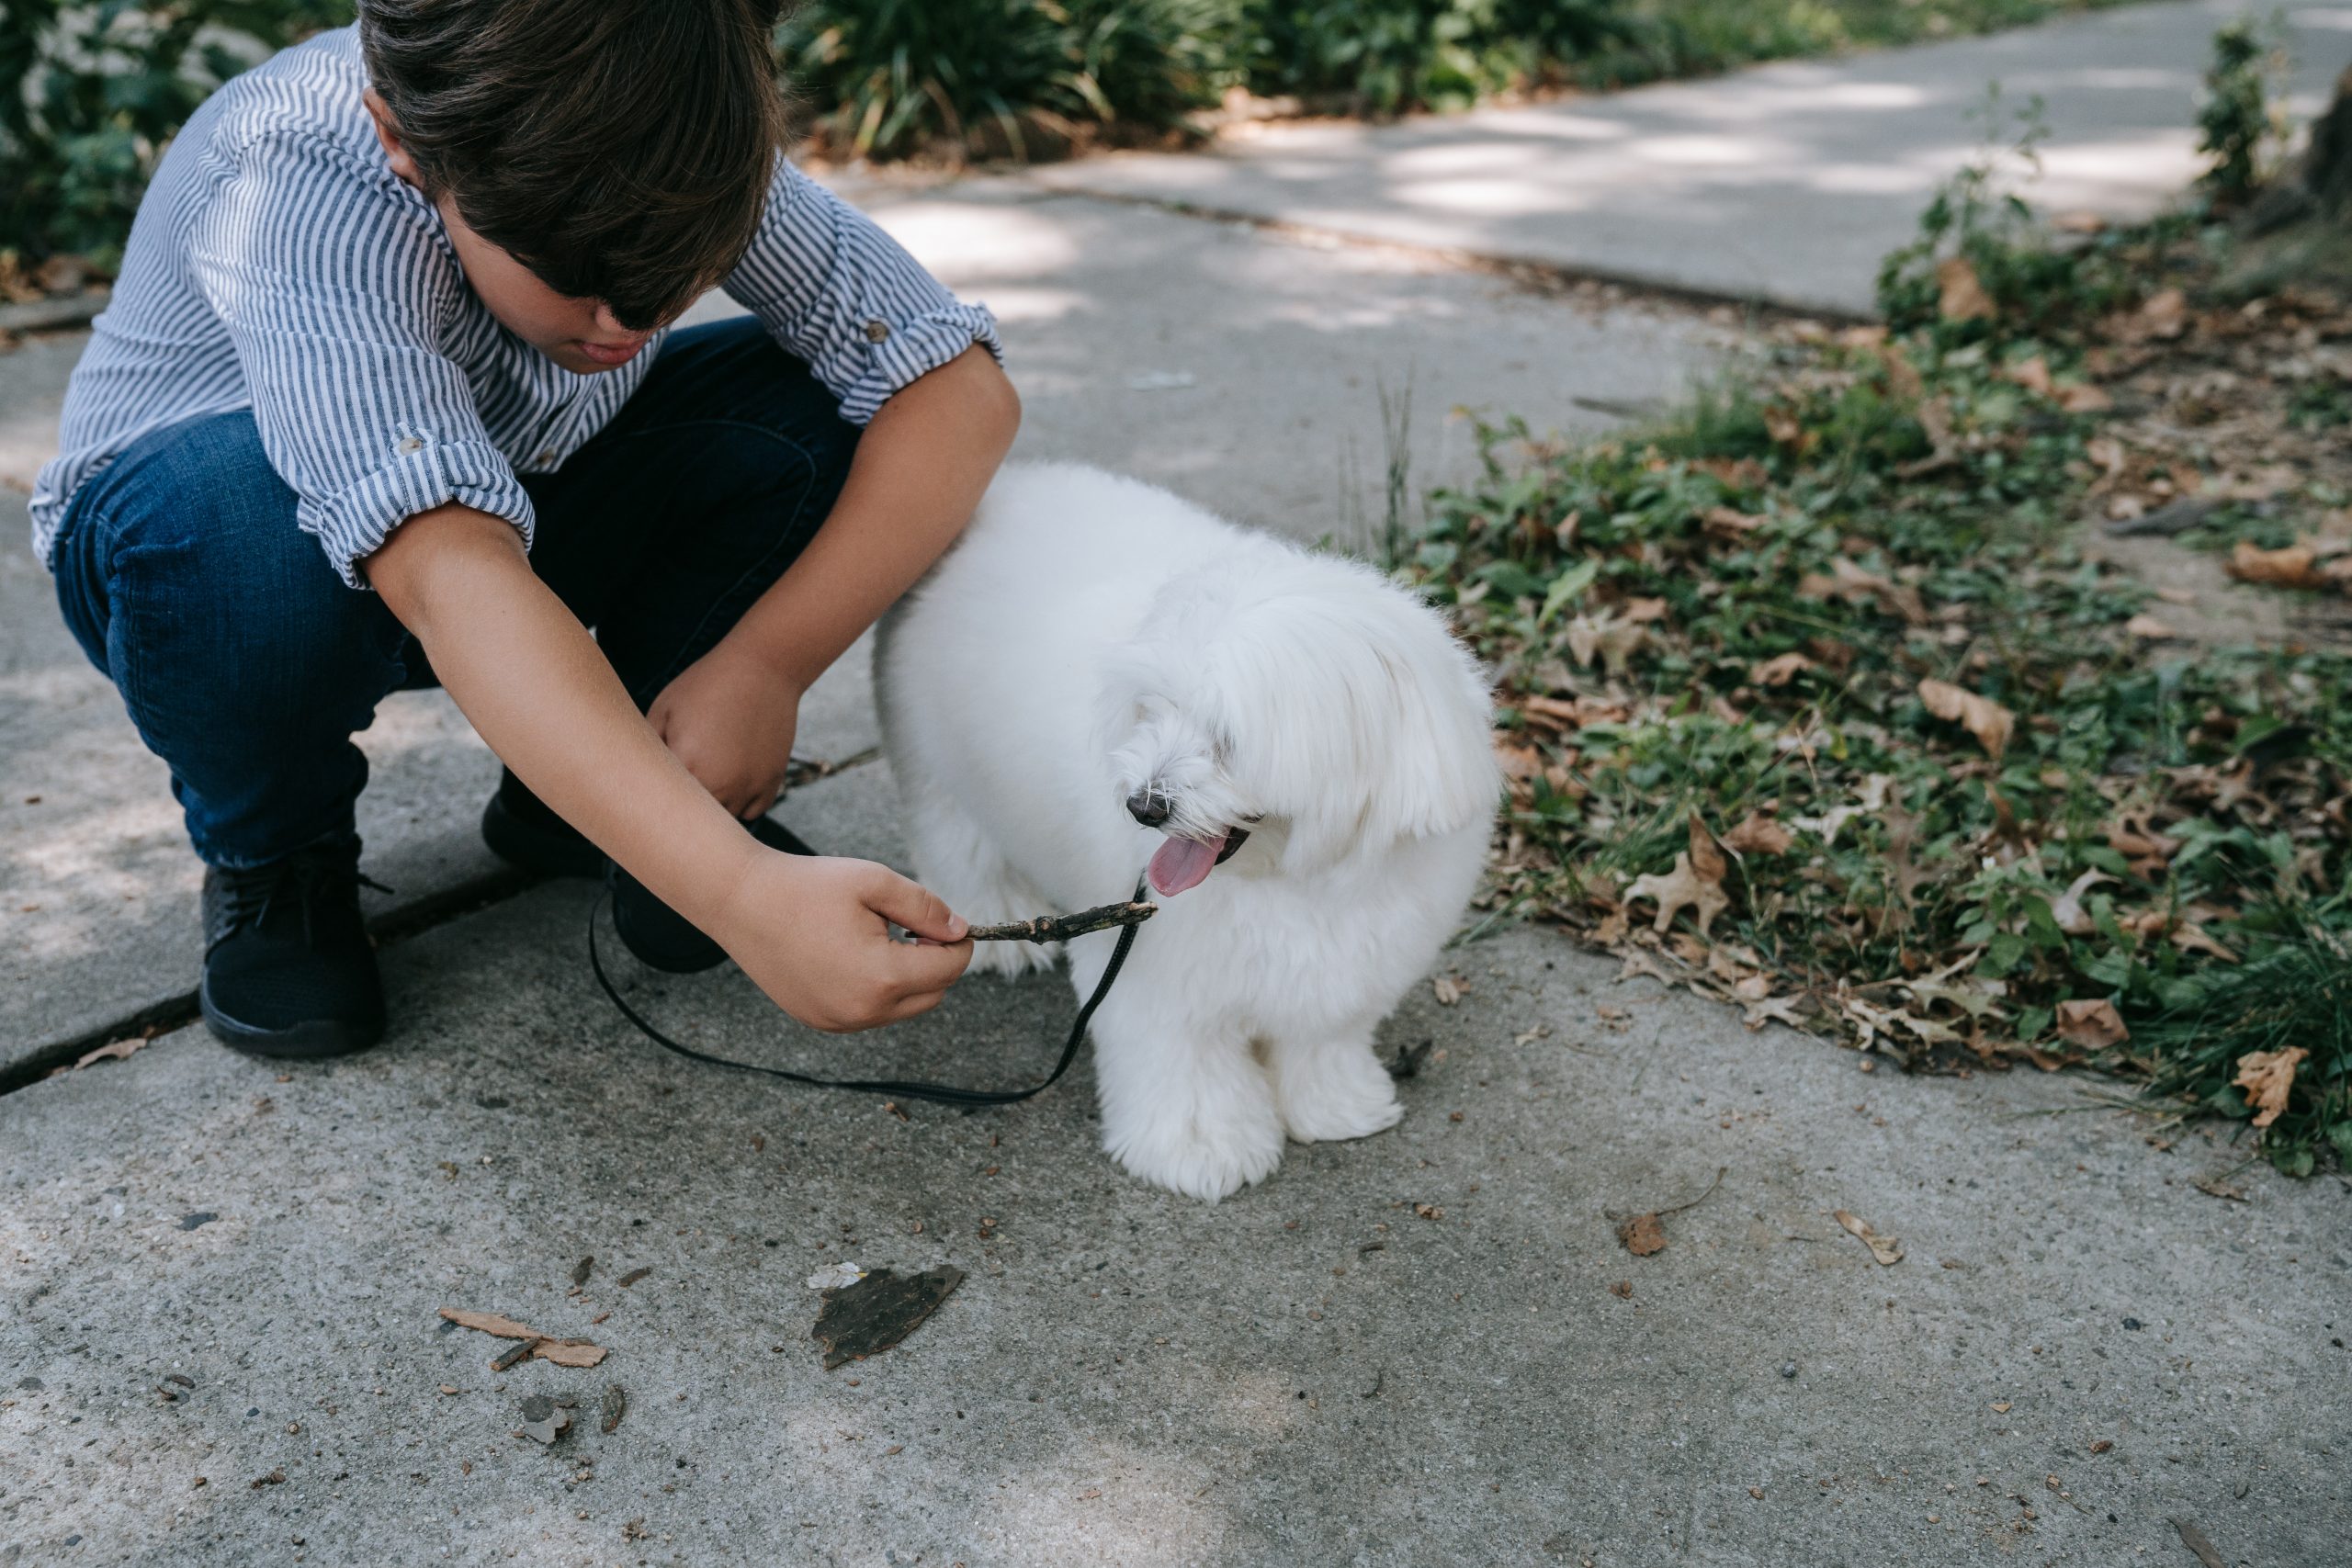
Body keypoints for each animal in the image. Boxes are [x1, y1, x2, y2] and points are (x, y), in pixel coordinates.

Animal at [875, 465, 1496, 1203]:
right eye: (1155, 710)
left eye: (1230, 739)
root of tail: (1002, 491)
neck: (1289, 880)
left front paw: (1335, 1105)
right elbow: (1185, 1067)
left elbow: (1322, 1041)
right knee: (959, 845)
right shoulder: (1157, 982)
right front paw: (1202, 1148)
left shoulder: (1351, 964)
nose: (1143, 805)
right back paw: (999, 927)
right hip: (938, 771)